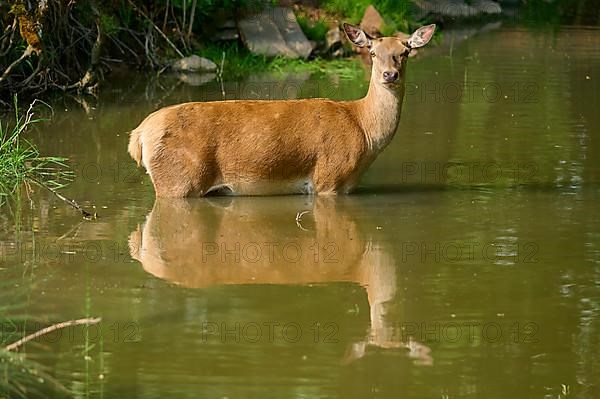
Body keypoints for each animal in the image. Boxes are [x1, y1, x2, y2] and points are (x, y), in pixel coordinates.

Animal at [127, 23, 436, 197]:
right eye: (372, 52)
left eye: (405, 51)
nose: (389, 75)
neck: (364, 130)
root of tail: (138, 135)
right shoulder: (328, 178)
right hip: (178, 181)